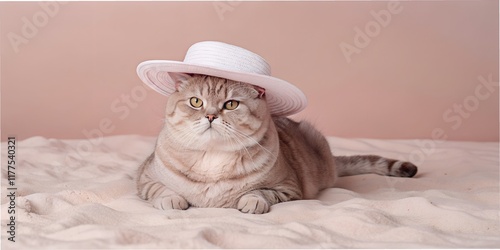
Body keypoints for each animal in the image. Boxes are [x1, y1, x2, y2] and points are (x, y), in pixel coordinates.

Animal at [135, 73, 416, 214]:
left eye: (231, 104)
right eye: (196, 102)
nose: (211, 116)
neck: (212, 159)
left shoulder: (289, 187)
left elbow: (261, 192)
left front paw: (251, 201)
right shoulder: (144, 178)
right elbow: (160, 190)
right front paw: (172, 199)